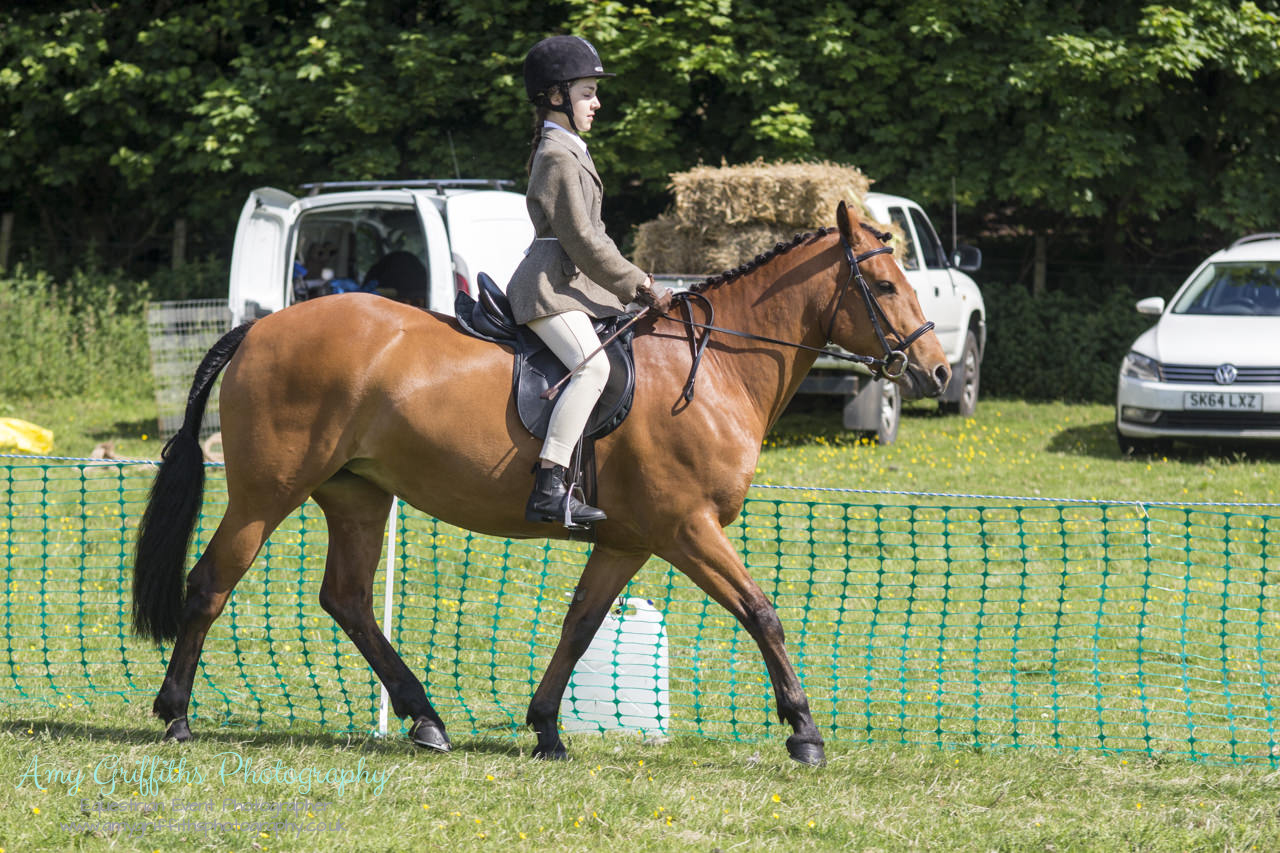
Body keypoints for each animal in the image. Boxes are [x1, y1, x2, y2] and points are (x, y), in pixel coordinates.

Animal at [132, 201, 952, 763]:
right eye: (883, 285)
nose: (938, 370)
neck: (715, 365)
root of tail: (260, 327)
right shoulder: (686, 528)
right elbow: (762, 613)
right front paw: (805, 731)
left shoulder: (627, 540)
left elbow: (580, 625)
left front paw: (548, 728)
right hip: (266, 492)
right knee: (211, 584)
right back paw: (176, 714)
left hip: (358, 492)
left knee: (350, 600)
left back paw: (426, 719)